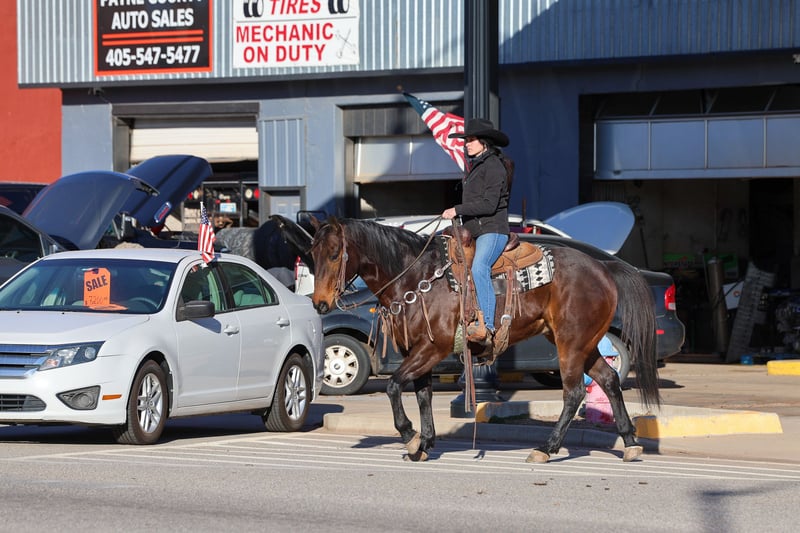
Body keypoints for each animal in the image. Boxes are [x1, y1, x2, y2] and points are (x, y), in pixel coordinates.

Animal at [307, 216, 661, 463]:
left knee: (573, 393)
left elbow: (394, 386)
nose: (320, 303)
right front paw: (425, 442)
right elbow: (423, 395)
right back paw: (630, 443)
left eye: (335, 253)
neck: (416, 277)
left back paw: (546, 448)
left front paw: (410, 435)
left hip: (571, 343)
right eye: (312, 253)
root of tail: (604, 266)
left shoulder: (432, 348)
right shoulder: (417, 351)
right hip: (583, 343)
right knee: (609, 379)